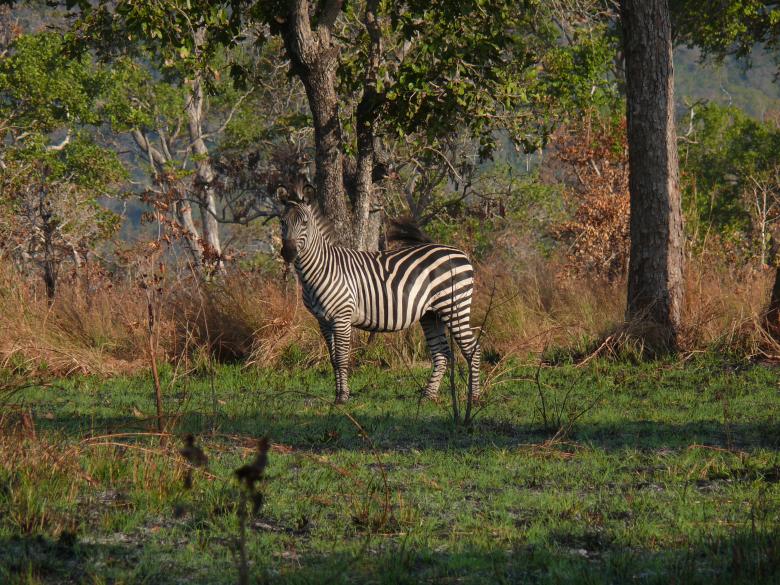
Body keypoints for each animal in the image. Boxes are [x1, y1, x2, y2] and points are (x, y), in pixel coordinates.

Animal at [277, 180, 481, 404]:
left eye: (305, 222)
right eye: (282, 222)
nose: (288, 253)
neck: (322, 268)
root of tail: (459, 253)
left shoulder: (342, 316)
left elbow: (341, 358)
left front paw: (343, 397)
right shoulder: (323, 320)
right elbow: (333, 359)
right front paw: (338, 395)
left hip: (454, 307)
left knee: (472, 349)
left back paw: (474, 397)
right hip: (431, 314)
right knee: (441, 354)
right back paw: (428, 396)